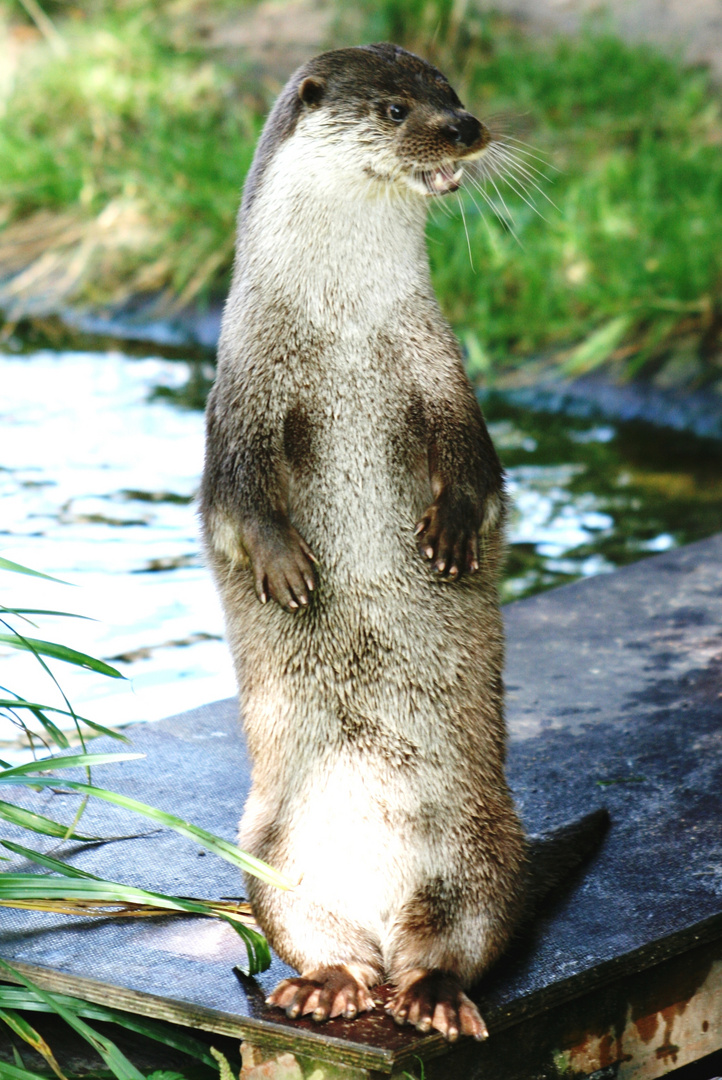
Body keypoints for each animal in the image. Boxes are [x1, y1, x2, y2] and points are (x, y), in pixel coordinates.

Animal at [199, 44, 526, 1045]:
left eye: (452, 92)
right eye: (395, 109)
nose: (467, 128)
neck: (339, 325)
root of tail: (382, 920)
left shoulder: (441, 371)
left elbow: (476, 470)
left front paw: (449, 538)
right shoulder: (241, 399)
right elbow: (238, 501)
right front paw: (288, 568)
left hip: (485, 846)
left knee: (458, 941)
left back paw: (432, 997)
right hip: (271, 856)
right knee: (317, 935)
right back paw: (329, 985)